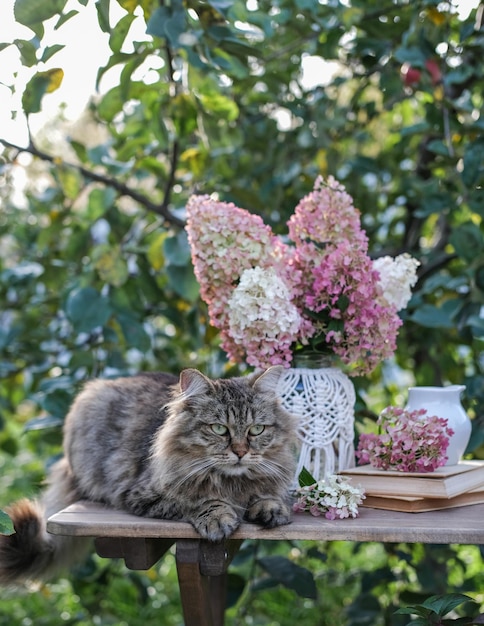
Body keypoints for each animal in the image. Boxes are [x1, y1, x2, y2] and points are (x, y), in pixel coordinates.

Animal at [0, 364, 294, 584]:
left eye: (256, 430)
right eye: (219, 429)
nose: (241, 452)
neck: (232, 482)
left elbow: (267, 494)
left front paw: (270, 508)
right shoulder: (139, 493)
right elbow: (197, 499)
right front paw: (219, 516)